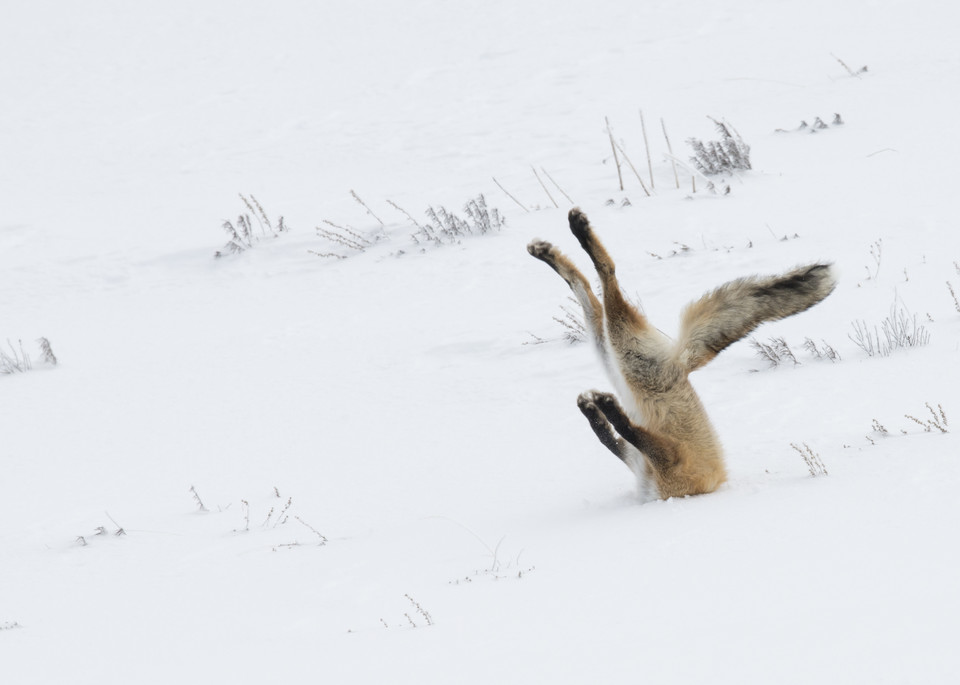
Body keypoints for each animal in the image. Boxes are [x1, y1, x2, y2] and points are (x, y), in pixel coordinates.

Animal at [528, 206, 836, 500]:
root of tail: (683, 363)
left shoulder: (668, 462)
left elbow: (624, 431)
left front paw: (604, 407)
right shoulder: (641, 459)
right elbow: (609, 436)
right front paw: (594, 409)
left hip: (625, 354)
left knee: (606, 274)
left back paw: (578, 232)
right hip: (613, 353)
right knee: (584, 286)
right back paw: (549, 250)